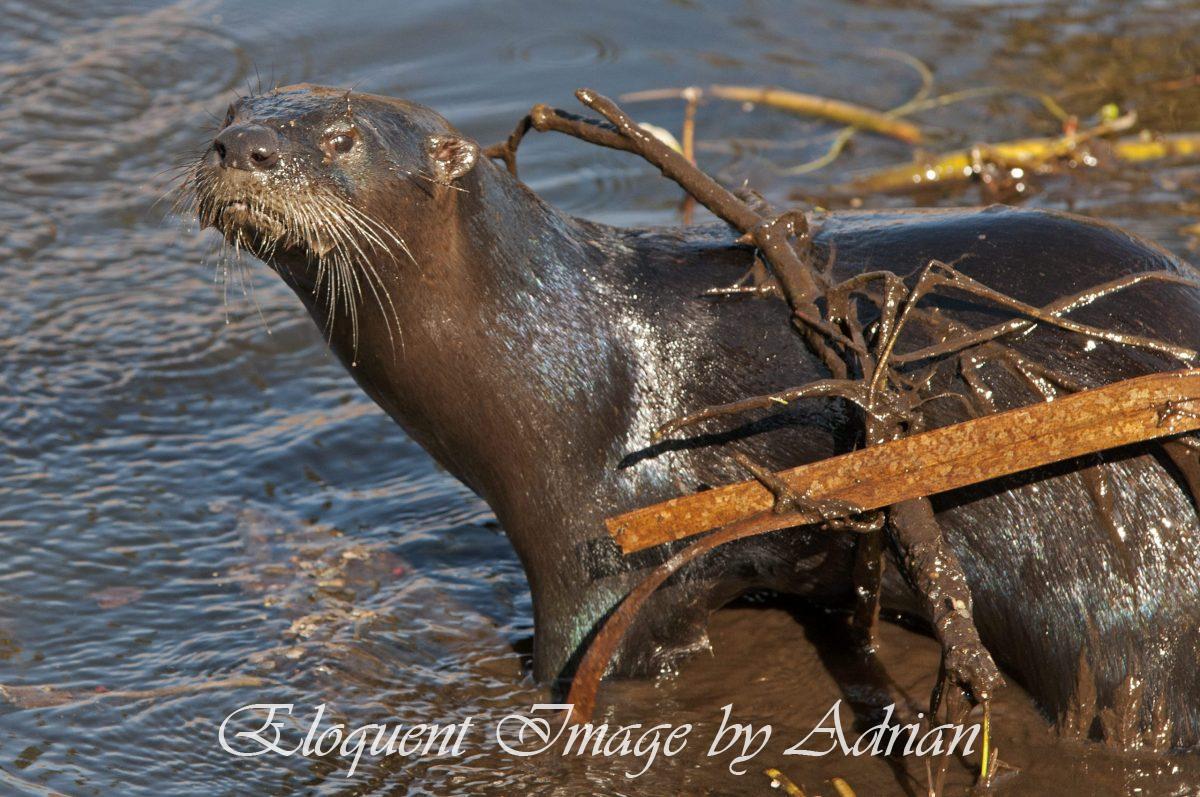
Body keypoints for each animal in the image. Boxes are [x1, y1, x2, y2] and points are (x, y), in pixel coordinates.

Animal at [187, 84, 1200, 746]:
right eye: (230, 116)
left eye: (343, 138)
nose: (247, 149)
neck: (553, 353)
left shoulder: (596, 539)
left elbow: (591, 650)